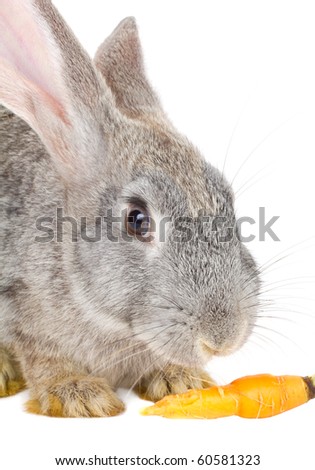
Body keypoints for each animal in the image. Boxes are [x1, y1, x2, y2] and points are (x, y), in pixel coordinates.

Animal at [0, 0, 260, 418]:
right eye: (137, 220)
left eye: (228, 201)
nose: (223, 338)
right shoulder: (23, 314)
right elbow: (46, 360)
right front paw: (79, 396)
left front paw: (179, 380)